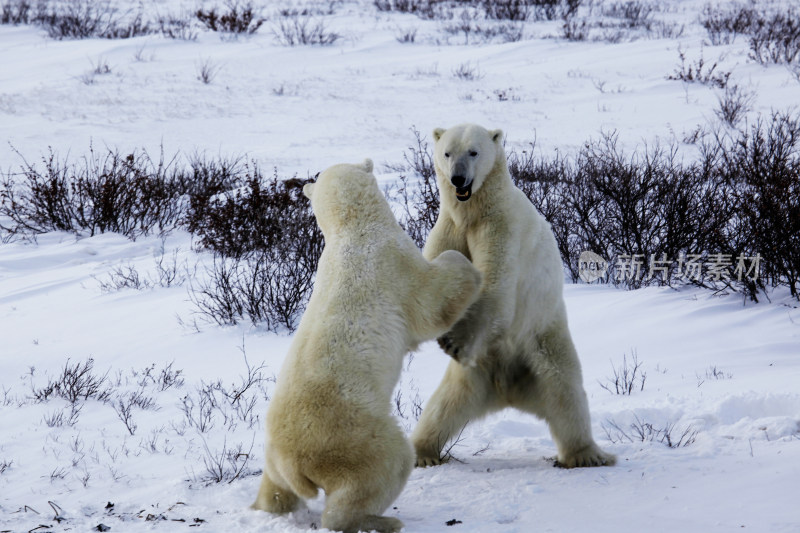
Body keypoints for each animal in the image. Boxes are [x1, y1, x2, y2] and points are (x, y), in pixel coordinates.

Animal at [253, 159, 482, 532]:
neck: (352, 227)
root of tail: (296, 461)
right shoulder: (395, 265)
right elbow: (434, 301)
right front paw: (463, 263)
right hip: (355, 439)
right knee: (383, 469)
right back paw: (379, 519)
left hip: (274, 455)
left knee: (276, 487)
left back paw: (268, 506)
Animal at [410, 123, 616, 466]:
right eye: (447, 152)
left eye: (474, 152)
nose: (458, 179)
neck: (474, 210)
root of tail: (508, 390)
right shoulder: (450, 227)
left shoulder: (501, 226)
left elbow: (495, 284)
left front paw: (453, 341)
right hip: (474, 372)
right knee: (445, 405)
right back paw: (421, 453)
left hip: (543, 341)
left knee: (566, 393)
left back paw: (588, 455)